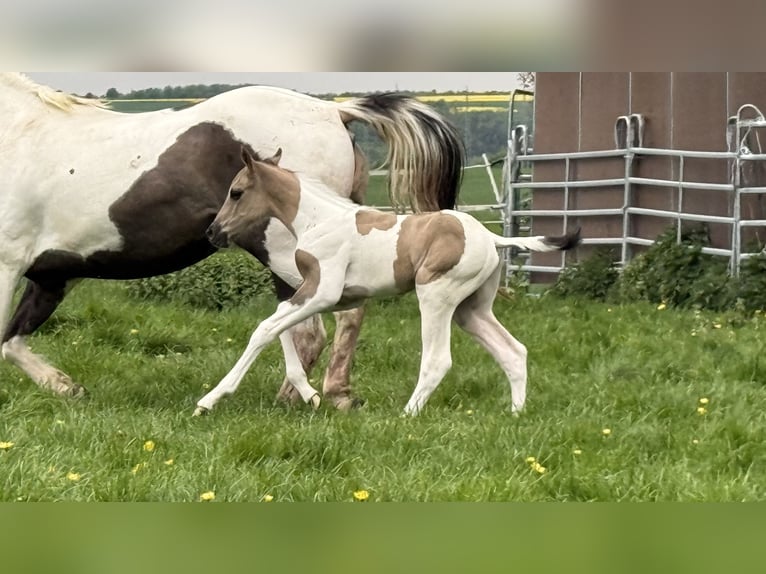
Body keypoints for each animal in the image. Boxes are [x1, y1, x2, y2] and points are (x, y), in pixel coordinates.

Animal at [0, 73, 464, 409]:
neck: (17, 135)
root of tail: (333, 111)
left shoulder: (9, 265)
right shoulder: (53, 275)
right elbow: (12, 340)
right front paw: (67, 387)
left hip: (290, 255)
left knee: (324, 323)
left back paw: (313, 396)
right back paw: (315, 395)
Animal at [196, 148, 581, 416]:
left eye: (236, 192)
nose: (212, 232)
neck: (318, 219)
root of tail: (491, 237)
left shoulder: (323, 292)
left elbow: (264, 329)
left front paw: (210, 399)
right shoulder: (329, 296)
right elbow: (279, 326)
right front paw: (310, 394)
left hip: (435, 296)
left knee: (438, 359)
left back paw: (407, 415)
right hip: (471, 310)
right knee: (513, 352)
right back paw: (516, 413)